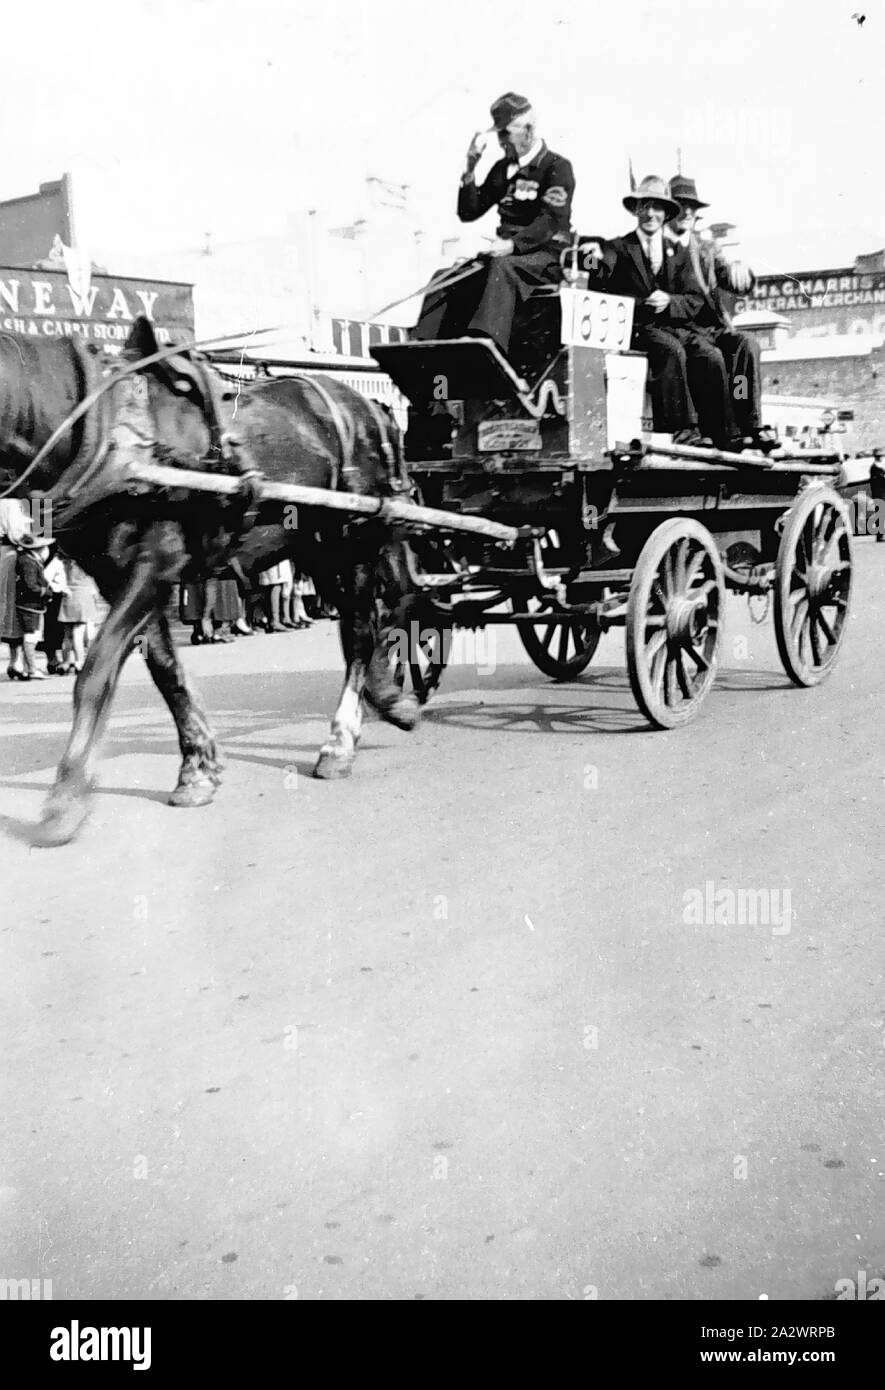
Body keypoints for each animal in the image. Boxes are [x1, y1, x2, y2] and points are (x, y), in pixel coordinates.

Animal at [0, 323, 416, 845]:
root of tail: (369, 407)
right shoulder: (120, 578)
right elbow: (166, 671)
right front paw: (197, 768)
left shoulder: (154, 564)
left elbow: (95, 672)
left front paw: (66, 798)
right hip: (315, 547)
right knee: (364, 620)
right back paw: (389, 698)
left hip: (353, 537)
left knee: (361, 628)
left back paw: (340, 742)